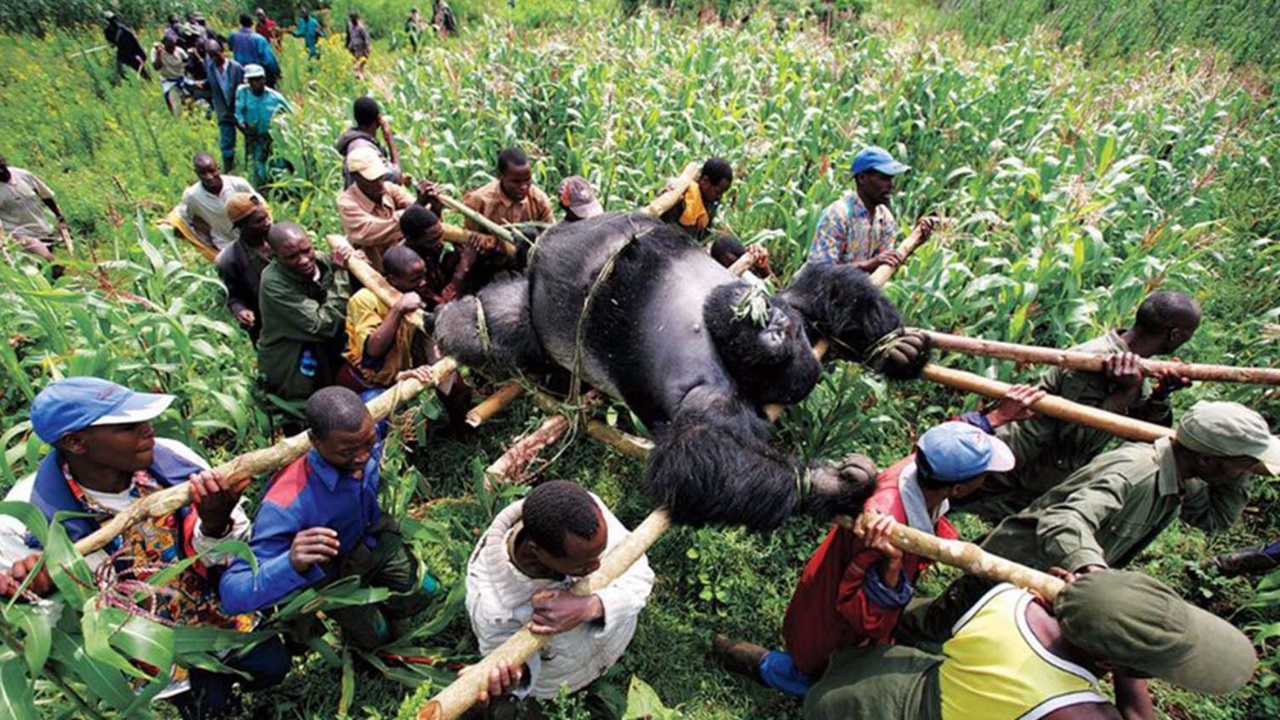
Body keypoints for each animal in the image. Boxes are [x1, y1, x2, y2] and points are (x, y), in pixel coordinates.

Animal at [435, 211, 926, 527]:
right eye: (773, 327)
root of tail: (539, 249)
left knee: (498, 323)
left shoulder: (718, 392)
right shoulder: (786, 309)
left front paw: (894, 351)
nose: (766, 321)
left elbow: (694, 454)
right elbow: (824, 285)